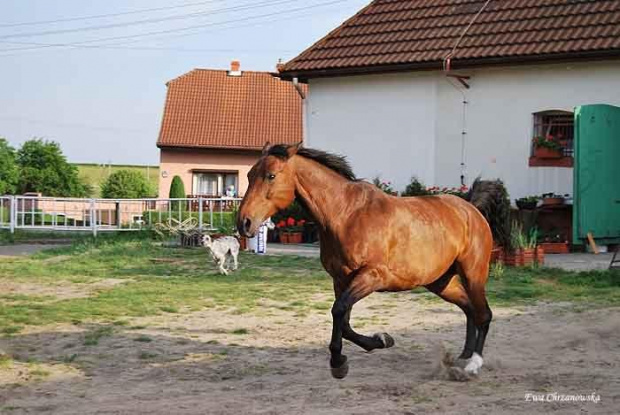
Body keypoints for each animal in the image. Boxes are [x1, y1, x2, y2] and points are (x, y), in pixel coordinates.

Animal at [235, 143, 506, 380]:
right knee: (469, 308)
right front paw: (378, 342)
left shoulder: (372, 275)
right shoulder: (341, 280)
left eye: (270, 176)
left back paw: (472, 365)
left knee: (484, 314)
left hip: (473, 273)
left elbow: (339, 311)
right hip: (440, 282)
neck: (345, 215)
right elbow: (343, 320)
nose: (244, 222)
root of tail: (470, 209)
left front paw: (340, 362)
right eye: (249, 174)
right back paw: (462, 357)